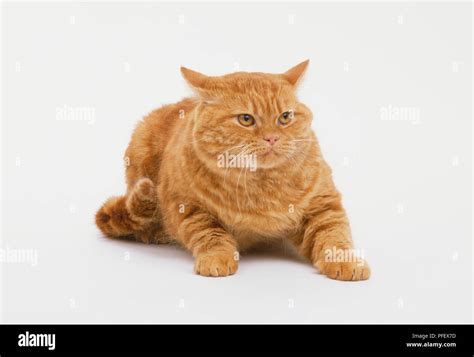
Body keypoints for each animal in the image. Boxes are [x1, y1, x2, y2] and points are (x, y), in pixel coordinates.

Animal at [95, 59, 370, 280]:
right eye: (246, 119)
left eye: (285, 117)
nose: (272, 138)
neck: (263, 183)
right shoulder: (189, 208)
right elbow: (211, 234)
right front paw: (216, 258)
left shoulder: (324, 205)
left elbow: (334, 236)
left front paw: (346, 263)